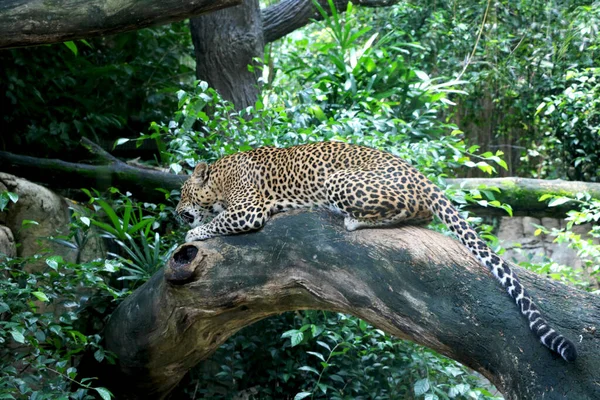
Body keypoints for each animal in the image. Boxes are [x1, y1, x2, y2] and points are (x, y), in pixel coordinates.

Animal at [177, 141, 576, 362]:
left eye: (182, 192)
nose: (176, 210)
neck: (220, 176)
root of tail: (420, 175)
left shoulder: (249, 209)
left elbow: (214, 223)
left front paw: (192, 230)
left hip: (338, 180)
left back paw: (351, 221)